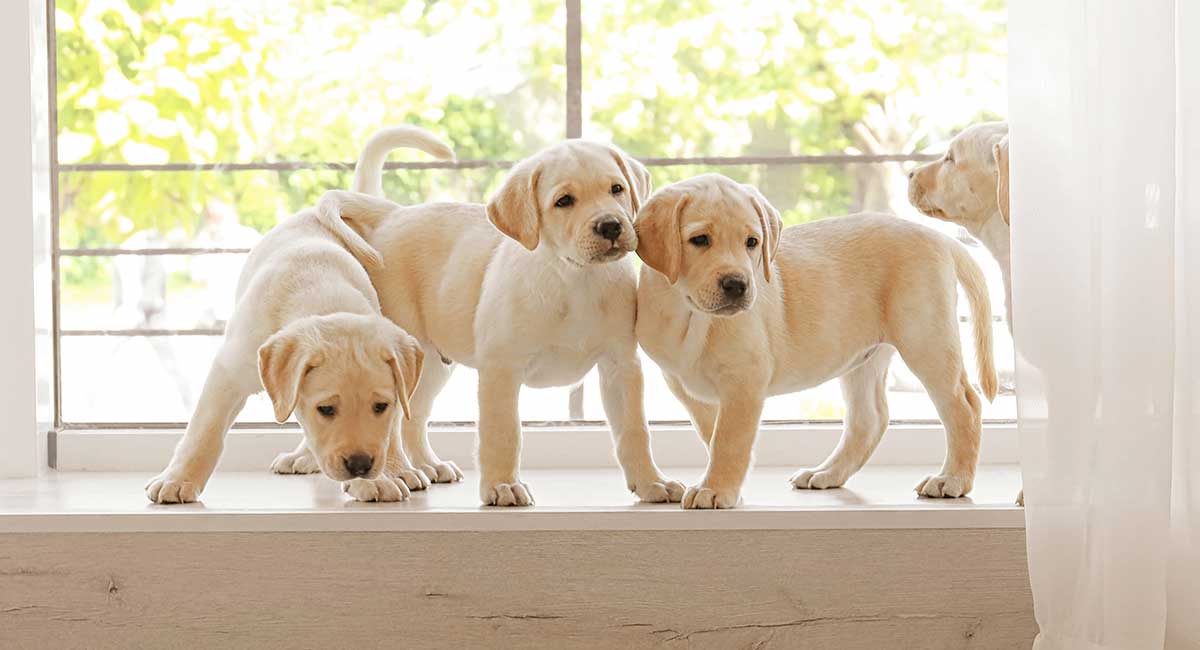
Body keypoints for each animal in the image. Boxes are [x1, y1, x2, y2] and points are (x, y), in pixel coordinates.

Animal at [142, 128, 451, 503]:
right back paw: (305, 457)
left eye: (380, 406)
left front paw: (381, 477)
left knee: (414, 418)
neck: (320, 293)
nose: (360, 465)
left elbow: (391, 431)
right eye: (326, 409)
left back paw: (418, 465)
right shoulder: (229, 370)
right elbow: (206, 429)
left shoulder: (395, 392)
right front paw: (179, 480)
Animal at [309, 133, 686, 508]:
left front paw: (651, 482)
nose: (610, 225)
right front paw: (502, 486)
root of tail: (393, 214)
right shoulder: (501, 370)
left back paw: (427, 465)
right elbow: (503, 433)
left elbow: (634, 430)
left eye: (616, 189)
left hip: (429, 364)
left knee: (413, 418)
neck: (576, 279)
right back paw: (391, 475)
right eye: (564, 201)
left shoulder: (621, 366)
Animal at [633, 176, 998, 513]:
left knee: (964, 405)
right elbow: (713, 434)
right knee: (870, 419)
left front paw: (715, 489)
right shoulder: (684, 384)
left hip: (926, 338)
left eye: (752, 242)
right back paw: (827, 473)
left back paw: (952, 479)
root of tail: (941, 238)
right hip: (864, 357)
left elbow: (729, 441)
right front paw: (728, 484)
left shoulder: (744, 381)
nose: (737, 285)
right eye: (699, 240)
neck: (691, 315)